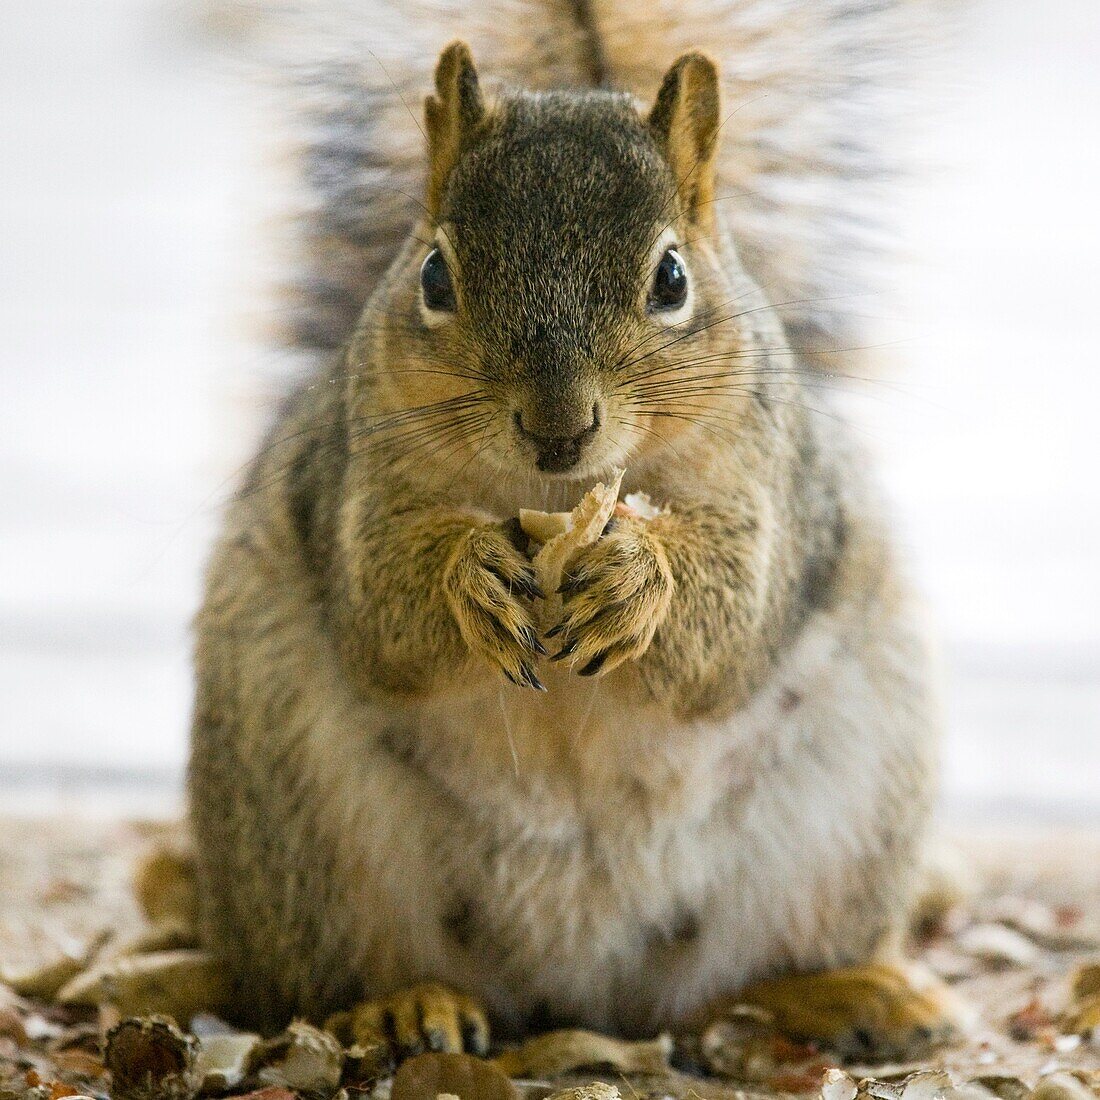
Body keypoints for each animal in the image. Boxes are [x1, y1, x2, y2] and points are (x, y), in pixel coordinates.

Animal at [187, 0, 954, 1064]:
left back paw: (844, 993)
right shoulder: (355, 474)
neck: (556, 492)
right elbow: (383, 609)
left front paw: (637, 578)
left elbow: (732, 624)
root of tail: (574, 979)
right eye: (434, 275)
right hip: (295, 822)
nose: (558, 428)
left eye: (671, 277)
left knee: (721, 992)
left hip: (847, 815)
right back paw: (400, 1006)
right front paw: (470, 574)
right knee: (337, 967)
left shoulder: (774, 487)